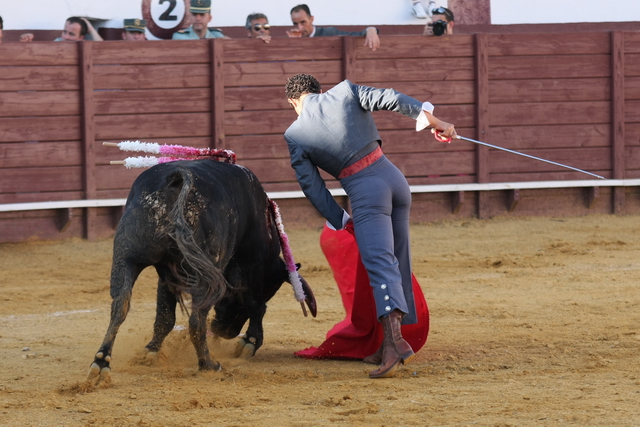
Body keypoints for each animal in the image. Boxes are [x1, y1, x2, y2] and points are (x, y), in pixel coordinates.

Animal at [87, 160, 318, 384]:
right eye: (270, 290)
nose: (225, 332)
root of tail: (178, 176)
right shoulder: (253, 267)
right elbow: (256, 305)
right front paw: (250, 342)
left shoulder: (168, 274)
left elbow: (164, 316)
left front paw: (150, 352)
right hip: (204, 273)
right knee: (197, 320)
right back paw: (208, 364)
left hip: (126, 257)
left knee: (120, 306)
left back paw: (101, 362)